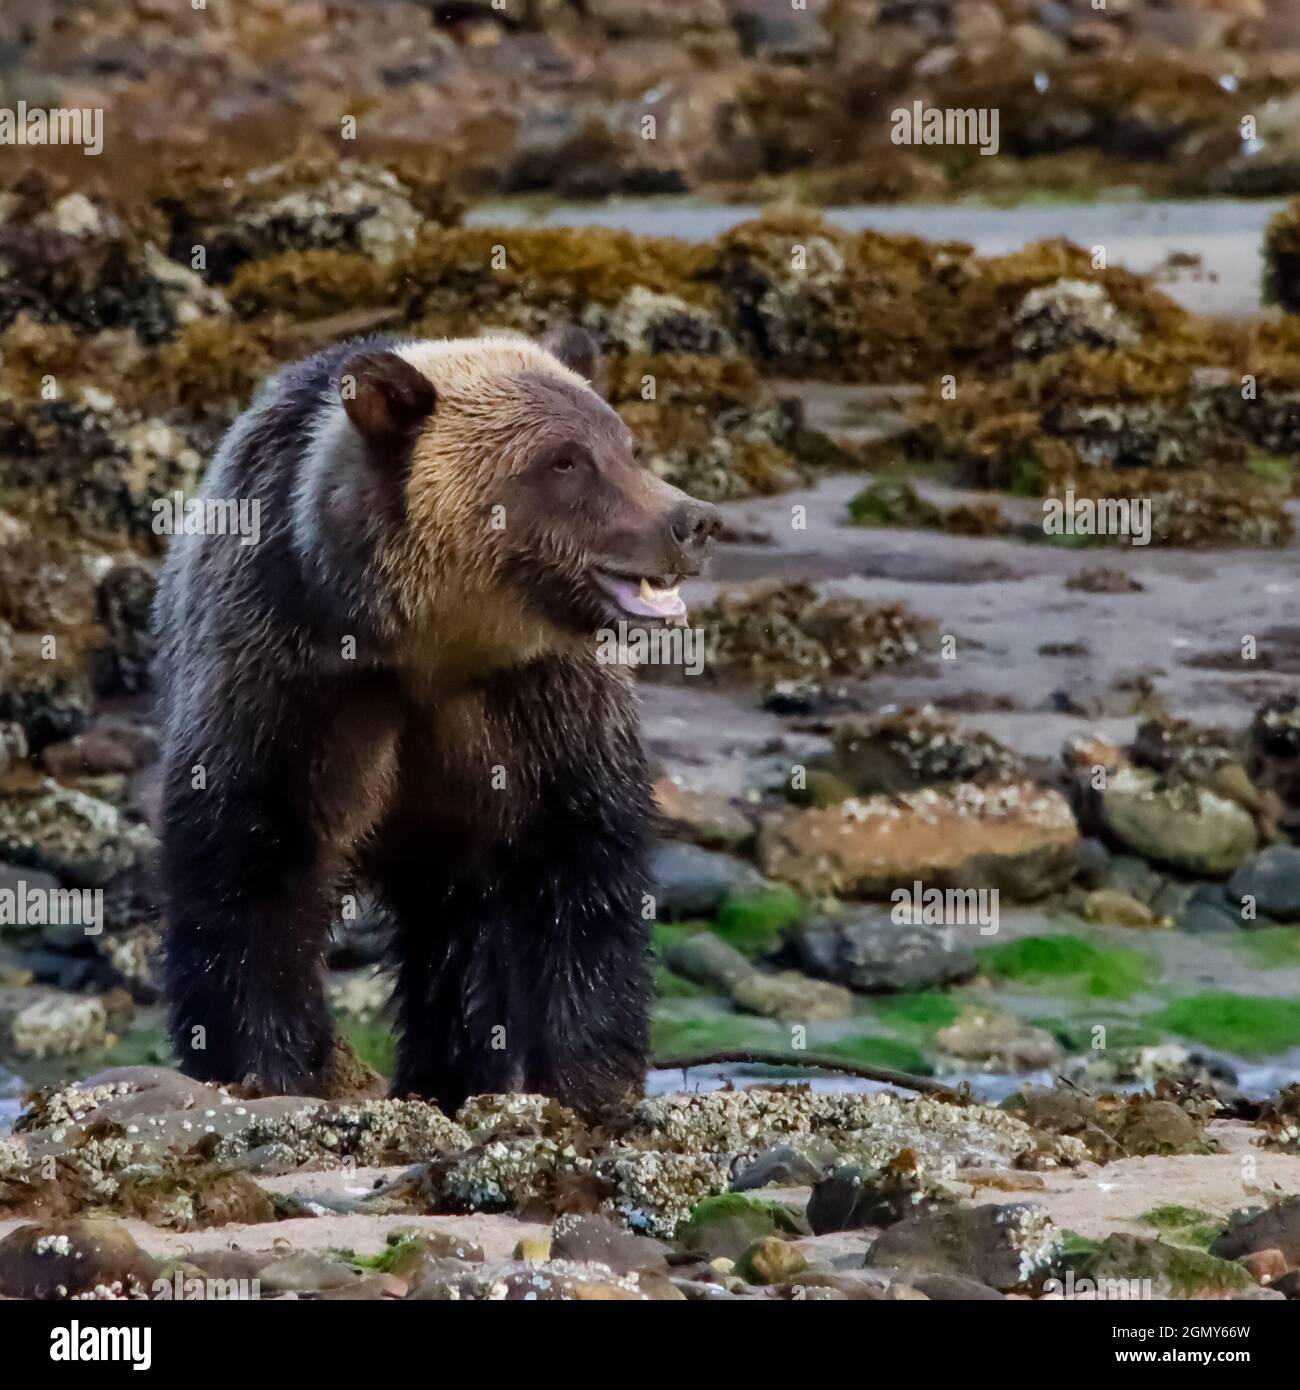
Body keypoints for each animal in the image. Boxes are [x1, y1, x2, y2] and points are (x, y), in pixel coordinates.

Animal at [156, 330, 722, 1112]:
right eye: (565, 459)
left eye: (626, 445)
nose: (690, 522)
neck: (432, 643)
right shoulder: (291, 676)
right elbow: (248, 871)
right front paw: (264, 1069)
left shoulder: (540, 705)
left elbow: (583, 867)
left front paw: (587, 1079)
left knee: (460, 946)